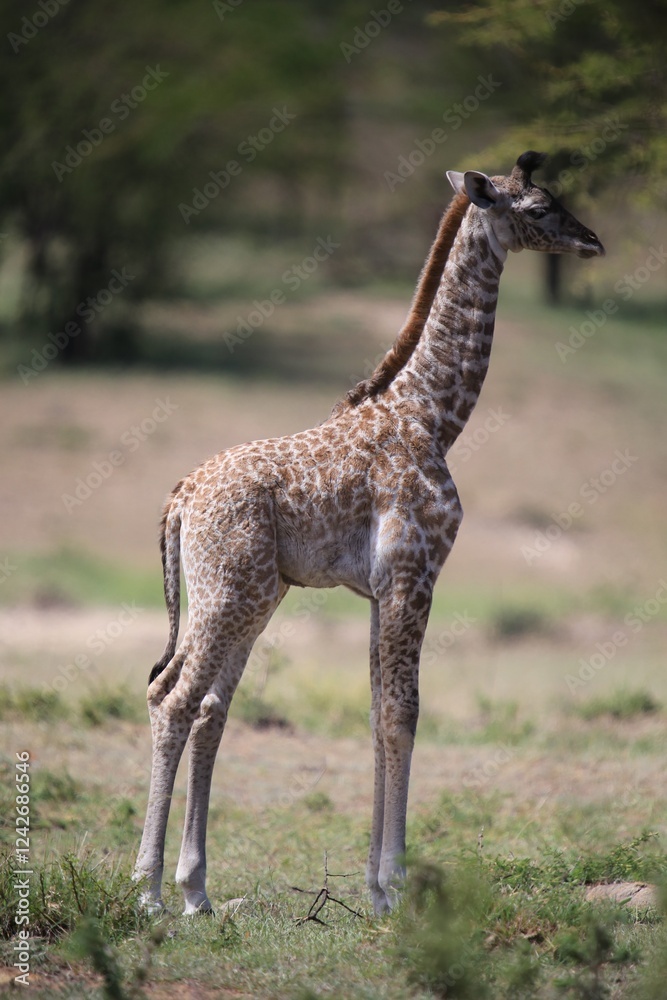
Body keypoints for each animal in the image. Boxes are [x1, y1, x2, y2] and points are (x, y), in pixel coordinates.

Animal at [134, 151, 604, 916]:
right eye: (538, 208)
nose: (592, 241)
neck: (433, 415)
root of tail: (179, 500)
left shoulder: (381, 589)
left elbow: (377, 711)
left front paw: (375, 888)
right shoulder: (416, 574)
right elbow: (403, 714)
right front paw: (396, 888)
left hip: (251, 599)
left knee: (203, 706)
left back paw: (196, 891)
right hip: (228, 594)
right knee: (172, 698)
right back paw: (147, 891)